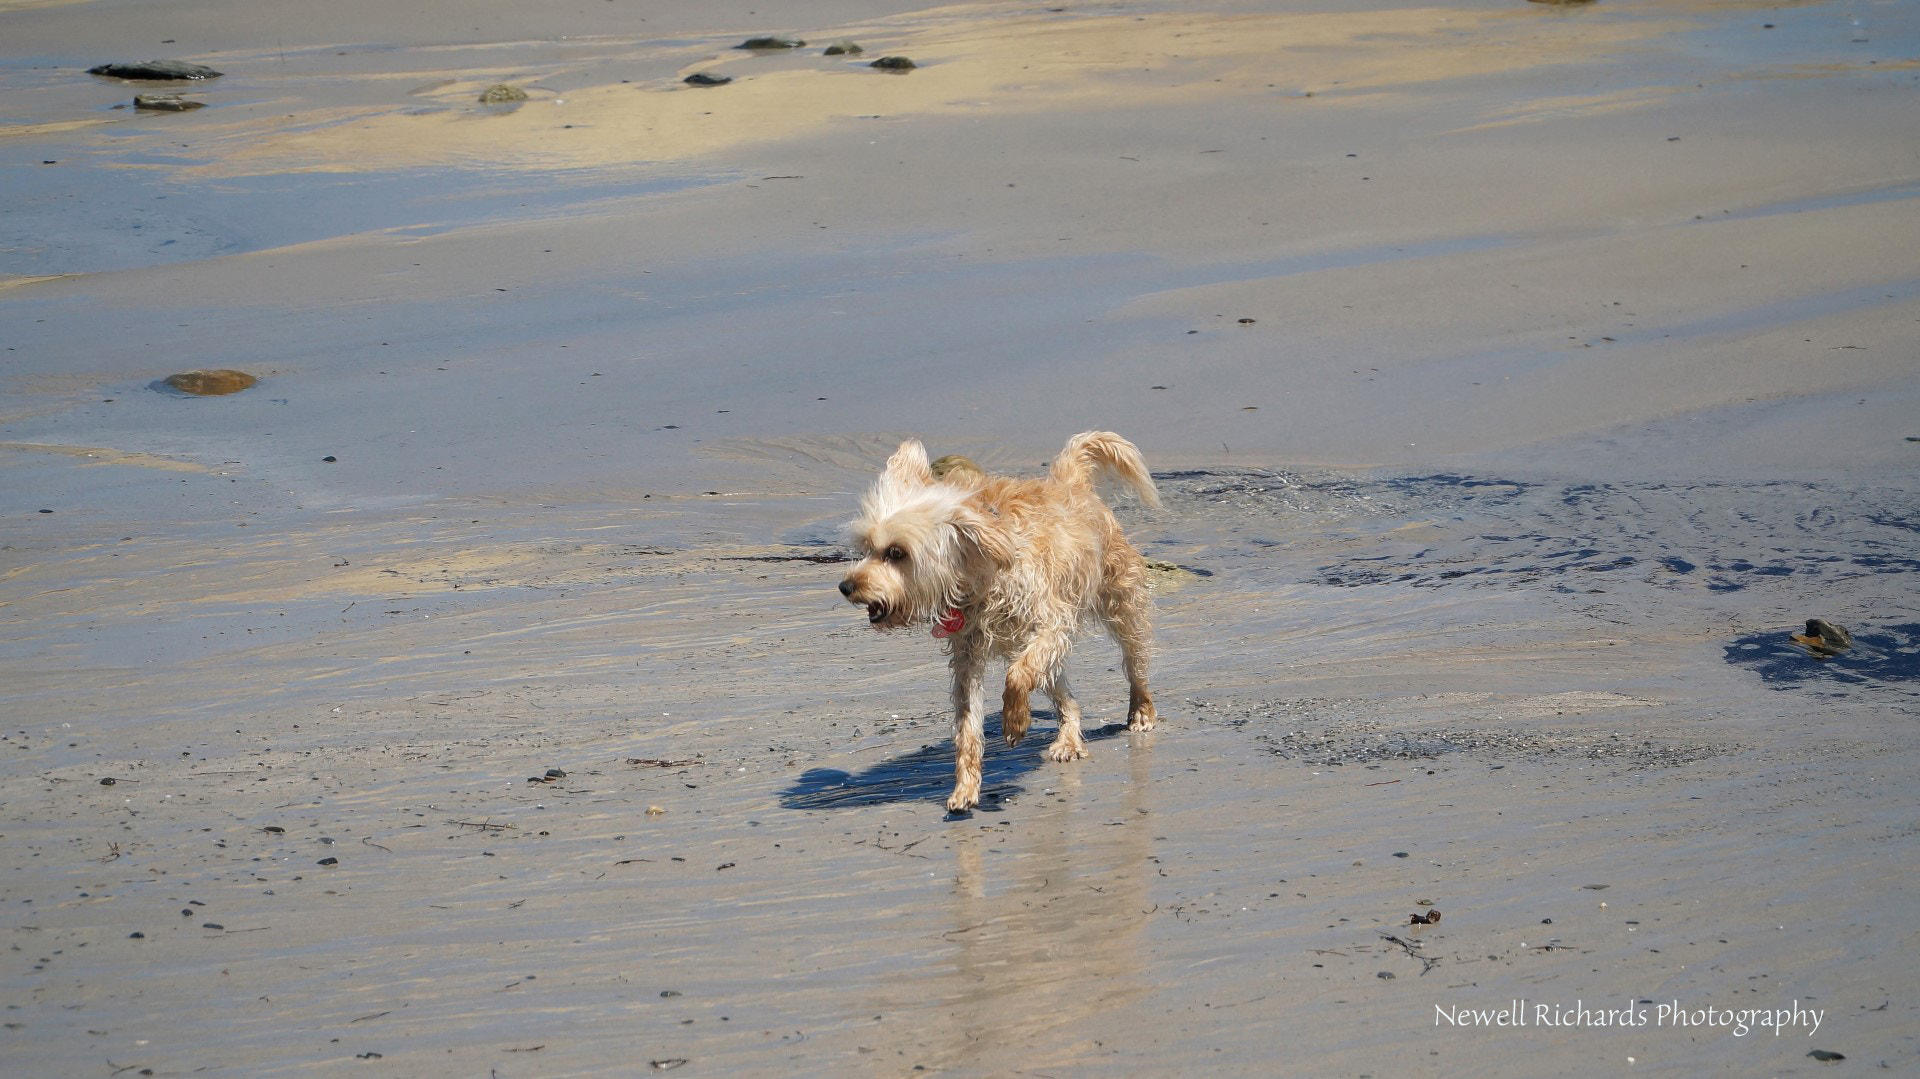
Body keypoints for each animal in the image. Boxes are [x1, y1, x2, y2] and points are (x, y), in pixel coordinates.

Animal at [837, 428, 1159, 806]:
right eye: (866, 549)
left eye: (896, 553)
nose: (845, 586)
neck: (986, 569)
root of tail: (1070, 482)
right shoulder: (968, 658)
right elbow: (968, 725)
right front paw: (965, 786)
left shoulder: (1052, 626)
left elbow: (1016, 676)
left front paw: (1016, 722)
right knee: (1066, 697)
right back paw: (1068, 739)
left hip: (1120, 604)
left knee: (1134, 661)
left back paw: (1141, 709)